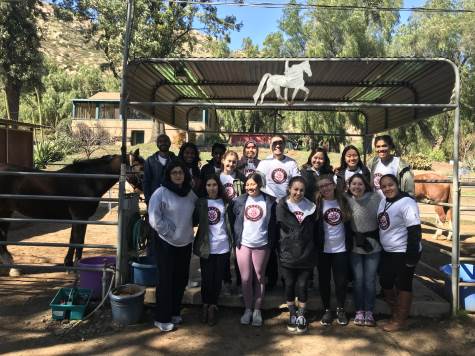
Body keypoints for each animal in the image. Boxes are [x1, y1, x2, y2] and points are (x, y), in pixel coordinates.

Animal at [0, 149, 145, 274]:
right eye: (141, 169)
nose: (144, 190)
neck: (87, 181)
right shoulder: (79, 216)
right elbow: (78, 240)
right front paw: (75, 266)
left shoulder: (80, 218)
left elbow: (75, 240)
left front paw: (70, 264)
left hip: (6, 212)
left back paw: (12, 267)